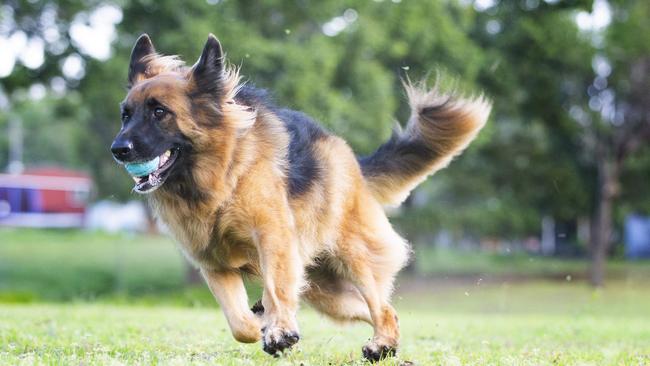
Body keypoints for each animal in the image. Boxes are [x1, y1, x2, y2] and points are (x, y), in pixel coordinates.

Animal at [110, 33, 486, 360]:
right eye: (125, 115)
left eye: (160, 112)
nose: (118, 149)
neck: (223, 176)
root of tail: (353, 162)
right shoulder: (214, 264)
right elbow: (239, 324)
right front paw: (264, 325)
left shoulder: (272, 237)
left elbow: (276, 289)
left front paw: (277, 330)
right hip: (328, 294)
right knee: (385, 309)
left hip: (355, 258)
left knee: (380, 305)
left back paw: (380, 345)